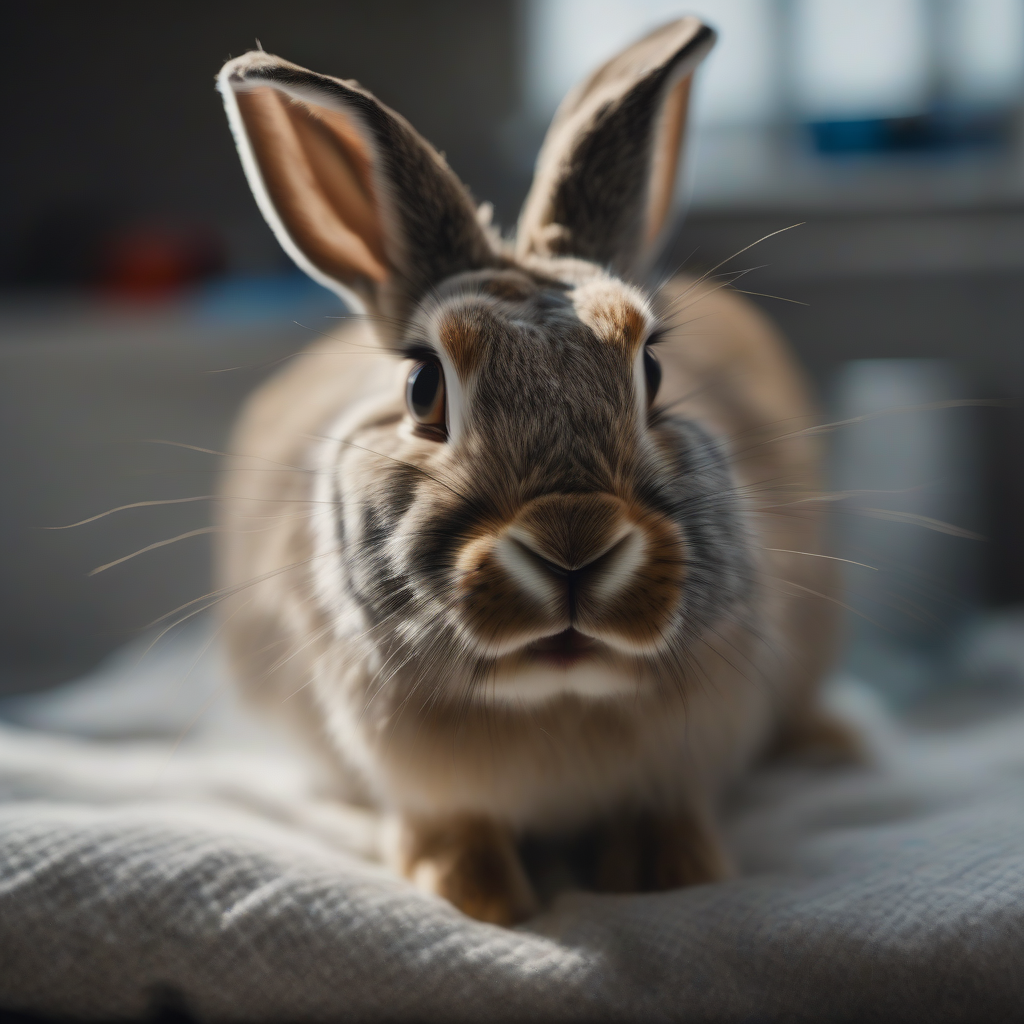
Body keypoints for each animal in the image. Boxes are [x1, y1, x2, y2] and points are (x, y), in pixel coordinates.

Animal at [215, 17, 856, 926]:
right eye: (423, 386)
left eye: (653, 371)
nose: (572, 542)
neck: (557, 699)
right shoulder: (428, 787)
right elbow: (455, 833)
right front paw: (477, 898)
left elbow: (666, 819)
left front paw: (672, 876)